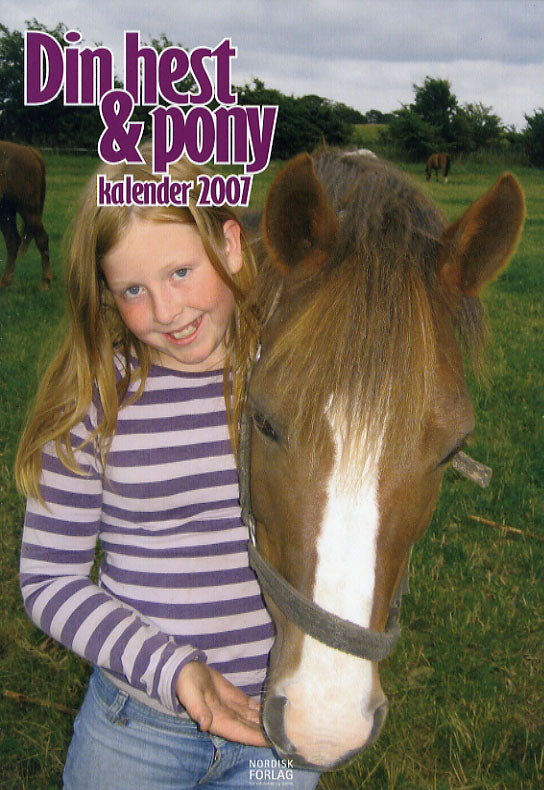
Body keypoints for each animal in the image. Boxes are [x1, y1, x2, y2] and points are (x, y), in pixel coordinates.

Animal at [0, 141, 51, 289]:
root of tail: (29, 151)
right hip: (6, 212)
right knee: (12, 241)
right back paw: (5, 281)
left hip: (28, 210)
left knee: (42, 239)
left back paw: (45, 283)